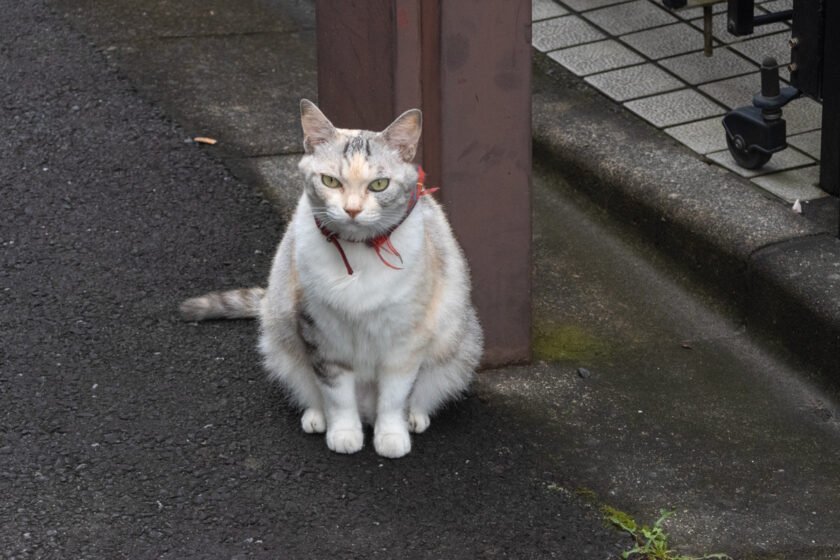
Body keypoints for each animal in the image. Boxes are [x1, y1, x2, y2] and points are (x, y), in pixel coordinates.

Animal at [180, 101, 482, 460]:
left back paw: (414, 418)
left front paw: (392, 436)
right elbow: (337, 395)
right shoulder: (321, 333)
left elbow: (394, 396)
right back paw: (316, 417)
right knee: (308, 388)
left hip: (459, 345)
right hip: (279, 338)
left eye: (379, 185)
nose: (351, 210)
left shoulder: (405, 339)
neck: (359, 255)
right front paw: (344, 434)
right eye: (330, 181)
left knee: (422, 394)